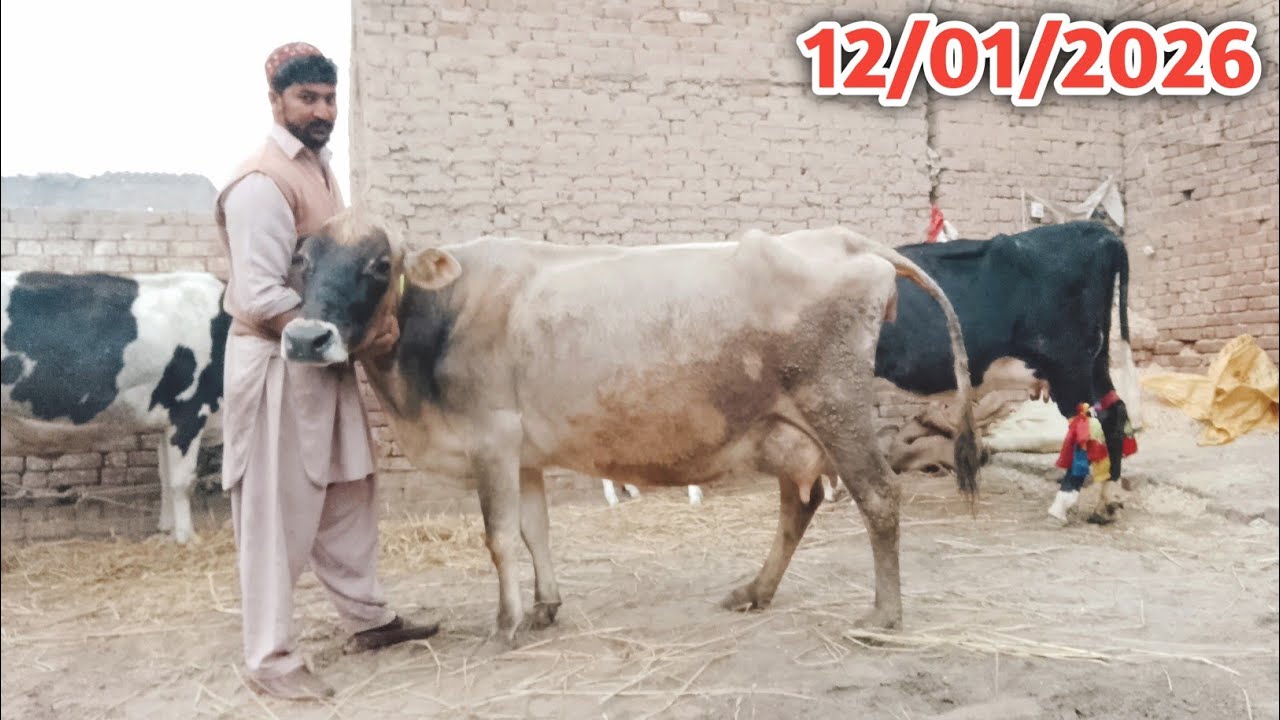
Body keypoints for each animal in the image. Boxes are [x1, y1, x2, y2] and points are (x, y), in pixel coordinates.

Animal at [1, 270, 230, 543]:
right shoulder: (188, 411)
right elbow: (182, 482)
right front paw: (188, 539)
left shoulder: (165, 421)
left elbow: (164, 477)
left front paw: (166, 529)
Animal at [279, 210, 980, 643]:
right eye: (300, 260)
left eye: (379, 264)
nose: (306, 338)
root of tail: (848, 241)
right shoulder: (523, 452)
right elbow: (535, 531)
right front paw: (545, 607)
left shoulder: (491, 442)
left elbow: (499, 538)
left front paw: (505, 623)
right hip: (789, 426)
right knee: (798, 505)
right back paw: (753, 590)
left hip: (835, 407)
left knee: (878, 496)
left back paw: (884, 614)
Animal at [873, 220, 1134, 523]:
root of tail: (1098, 231)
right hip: (1095, 363)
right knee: (1114, 413)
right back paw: (1106, 504)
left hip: (1068, 367)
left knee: (1090, 424)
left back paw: (1063, 503)